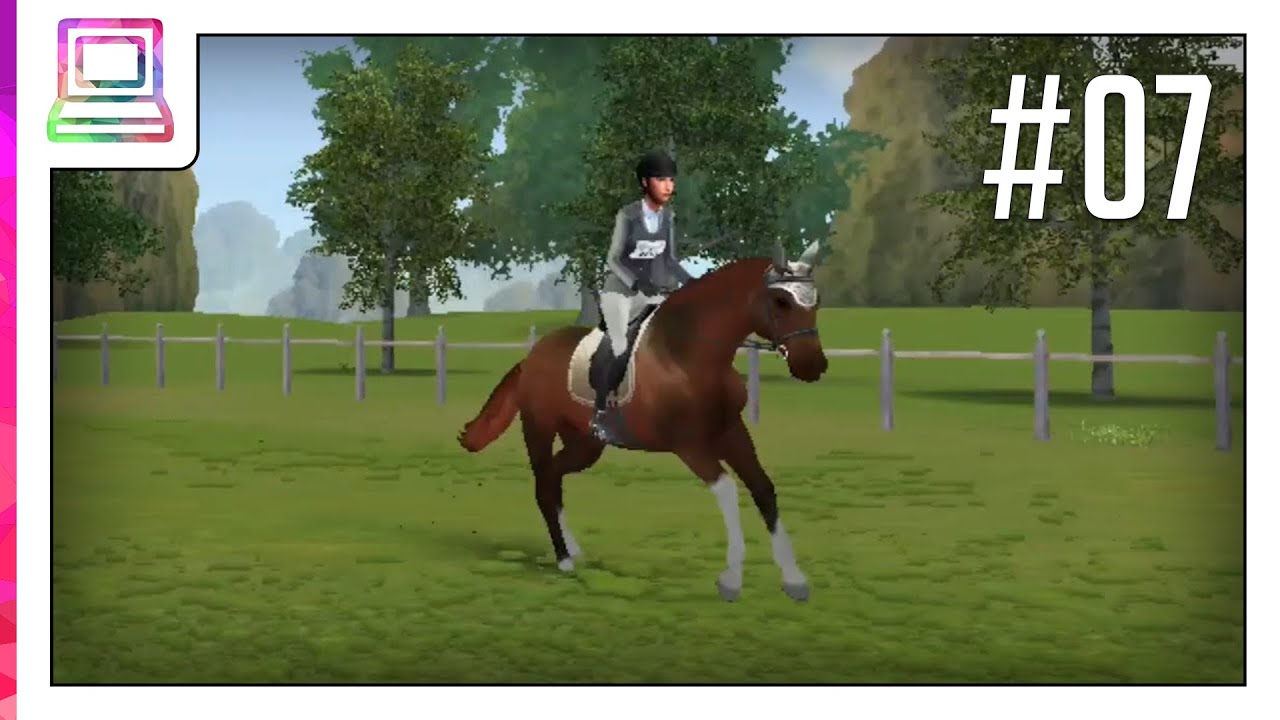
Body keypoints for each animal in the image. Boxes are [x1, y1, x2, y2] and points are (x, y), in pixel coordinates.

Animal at [457, 241, 829, 602]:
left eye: (816, 300)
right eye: (781, 301)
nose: (812, 366)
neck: (689, 353)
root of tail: (532, 356)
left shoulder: (731, 431)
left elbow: (763, 488)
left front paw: (795, 580)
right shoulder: (689, 445)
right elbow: (727, 490)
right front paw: (731, 580)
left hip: (585, 444)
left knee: (555, 477)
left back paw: (574, 551)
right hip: (539, 429)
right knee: (544, 485)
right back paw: (563, 560)